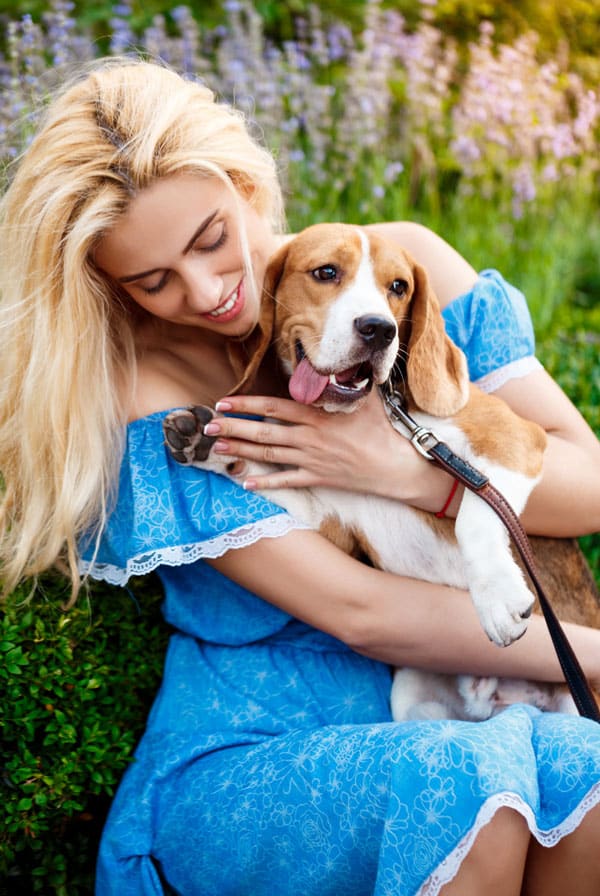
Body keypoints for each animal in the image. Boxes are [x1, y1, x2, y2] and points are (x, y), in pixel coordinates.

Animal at [164, 224, 600, 720]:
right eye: (326, 272)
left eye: (399, 287)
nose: (378, 329)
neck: (378, 412)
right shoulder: (335, 520)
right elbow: (261, 471)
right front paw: (207, 443)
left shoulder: (515, 438)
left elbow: (476, 509)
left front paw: (497, 596)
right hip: (412, 698)